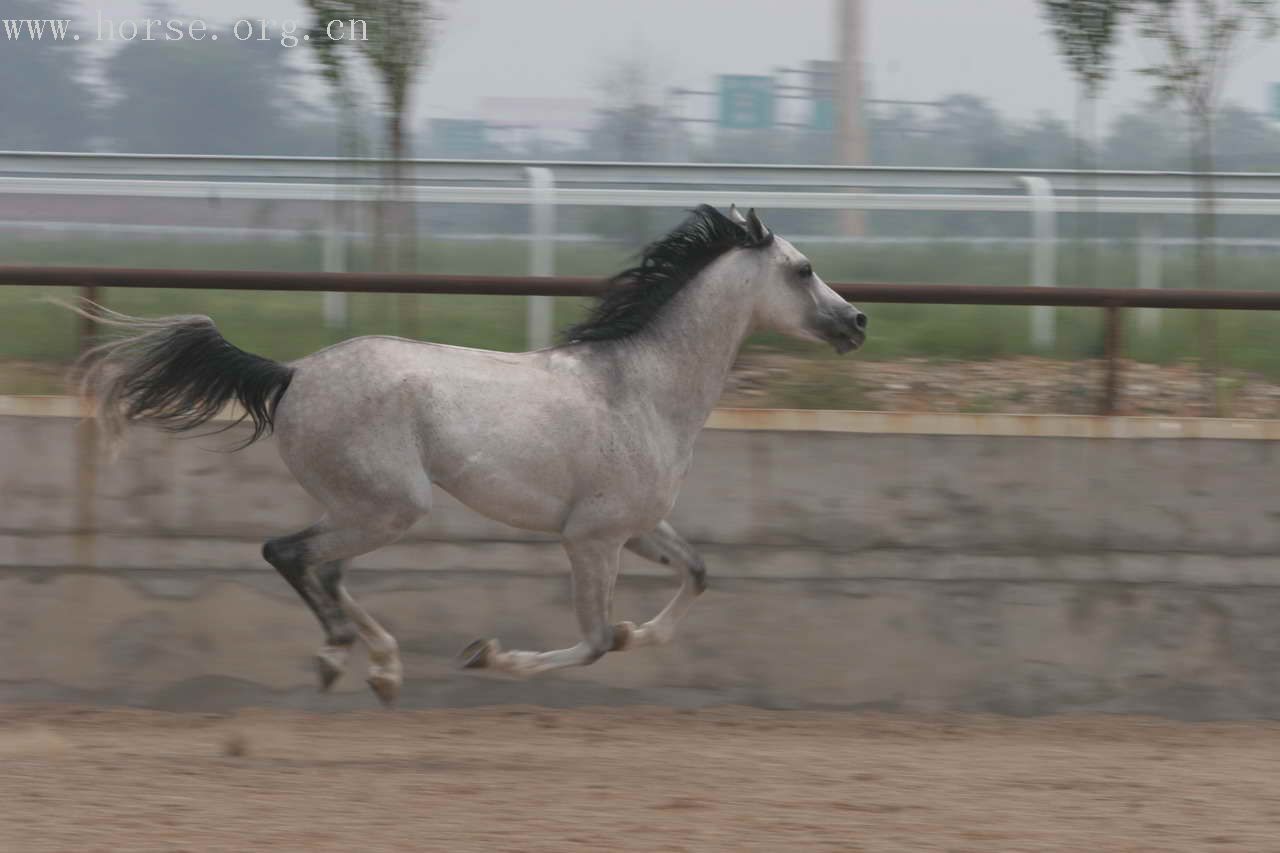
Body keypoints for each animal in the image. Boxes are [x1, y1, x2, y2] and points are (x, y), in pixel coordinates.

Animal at [74, 202, 865, 701]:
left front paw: (637, 632)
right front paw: (487, 655)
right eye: (803, 269)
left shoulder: (636, 529)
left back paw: (382, 668)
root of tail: (292, 372)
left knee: (324, 568)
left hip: (364, 506)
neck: (641, 386)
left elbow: (695, 576)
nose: (856, 321)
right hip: (391, 507)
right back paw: (340, 657)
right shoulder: (591, 538)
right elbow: (593, 640)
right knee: (290, 554)